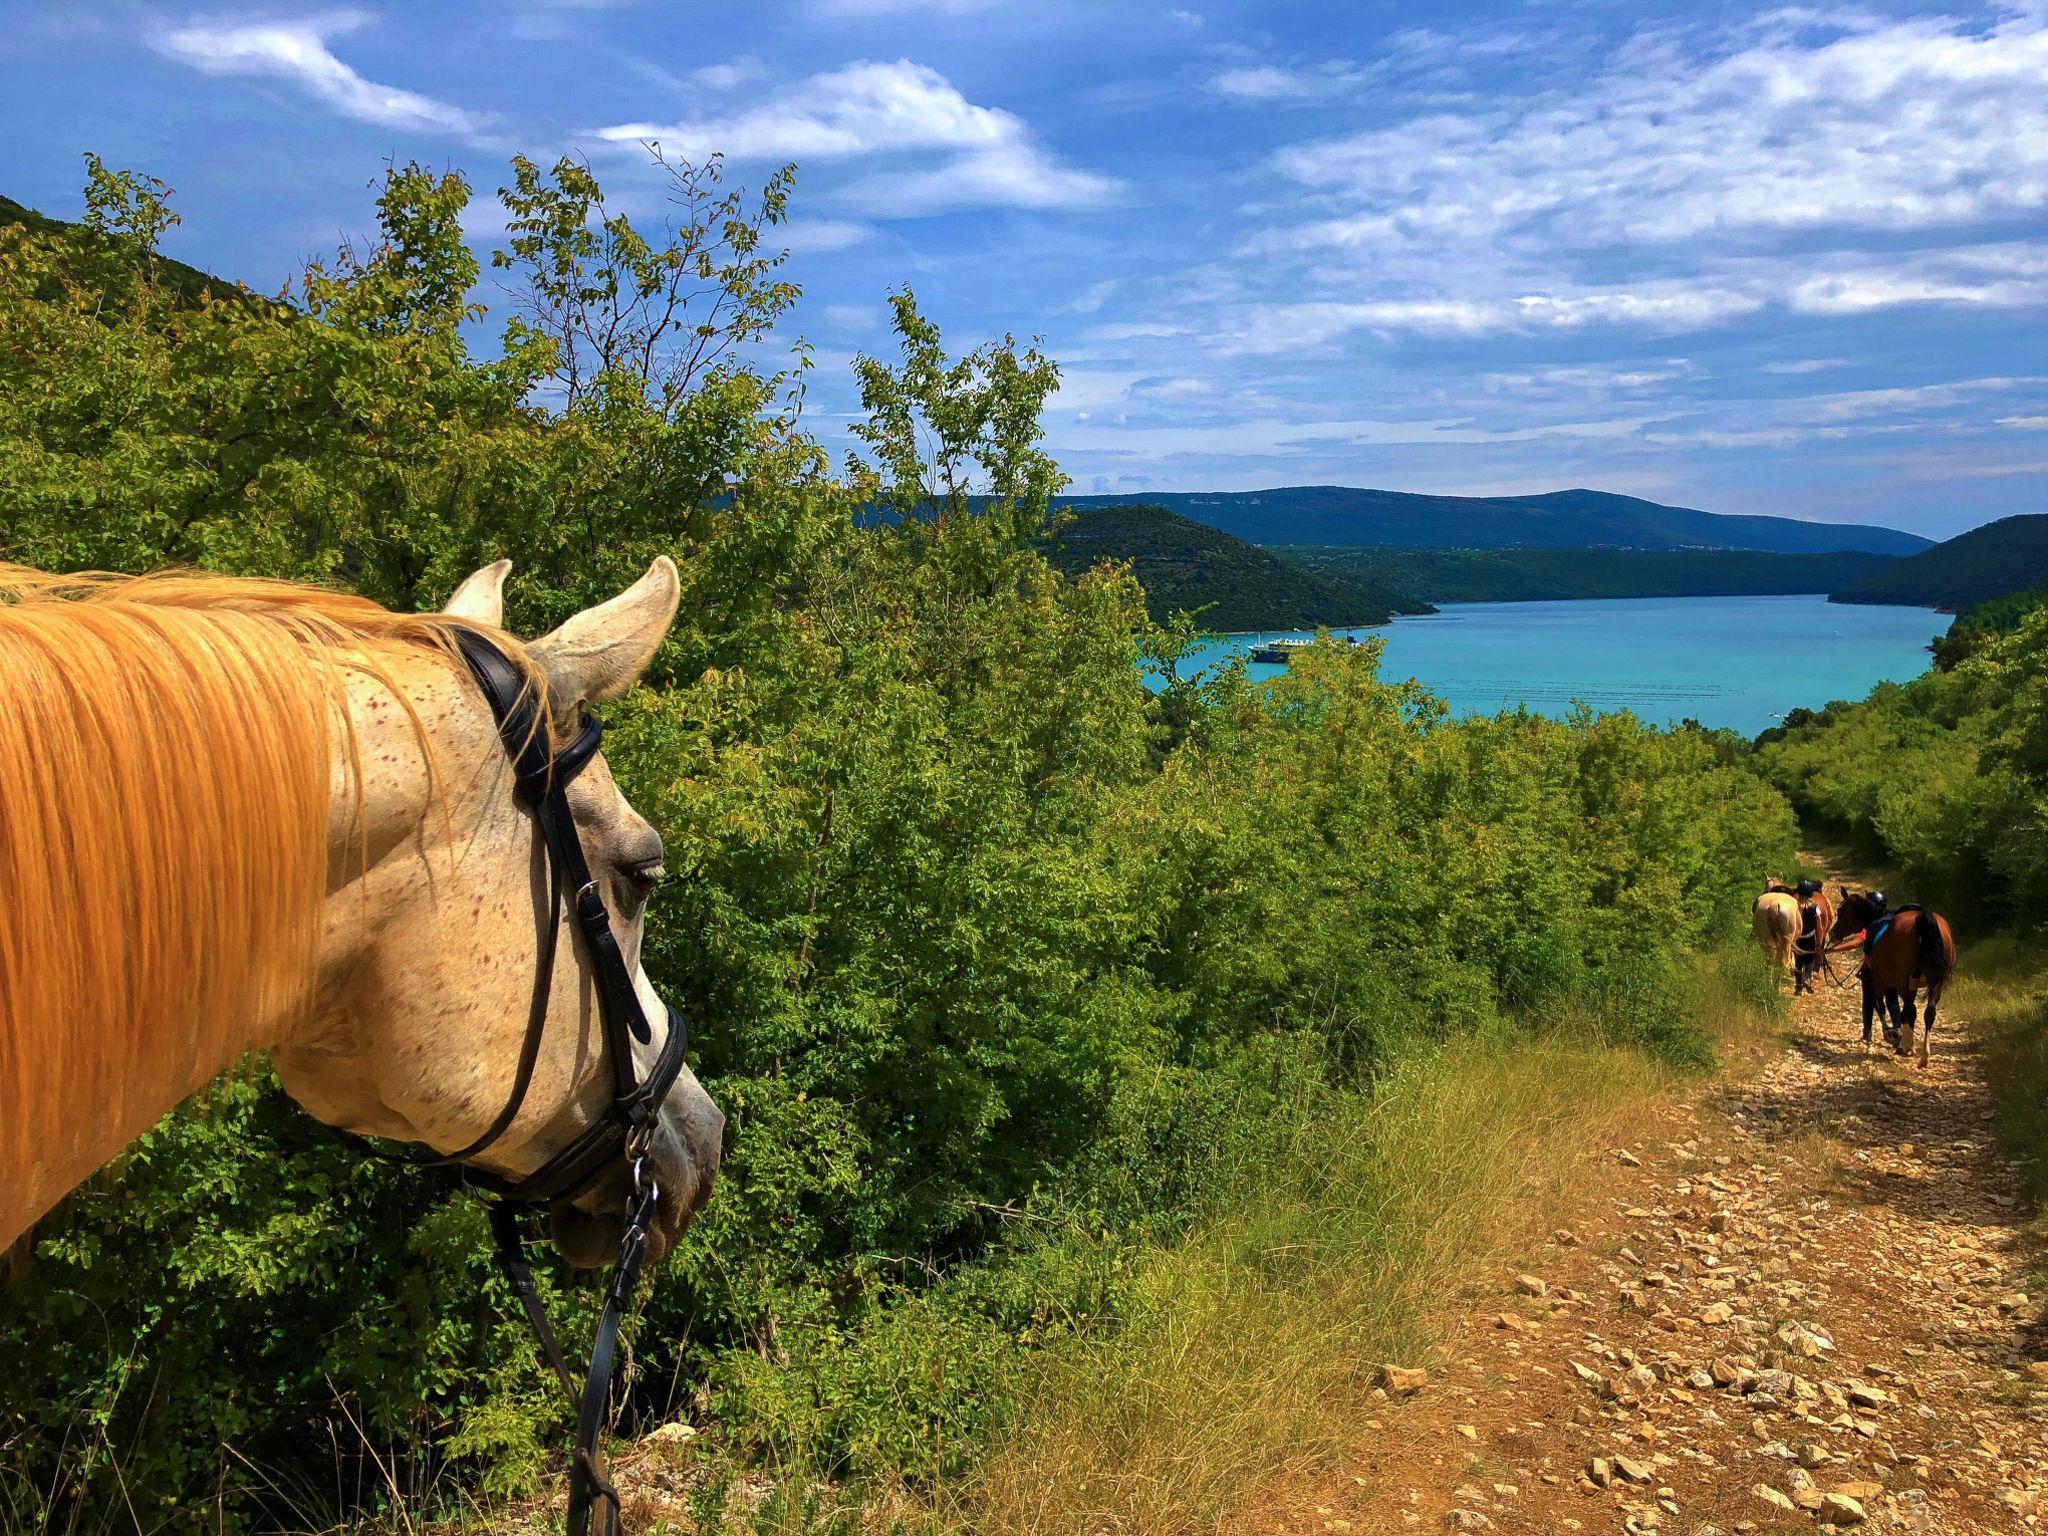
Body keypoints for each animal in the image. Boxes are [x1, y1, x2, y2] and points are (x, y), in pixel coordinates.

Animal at [1835, 888, 1957, 1073]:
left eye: (1841, 911)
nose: (1833, 932)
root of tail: (1923, 919)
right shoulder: (1911, 985)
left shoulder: (1878, 982)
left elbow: (1881, 1007)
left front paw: (1892, 1036)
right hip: (1935, 983)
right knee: (1928, 1012)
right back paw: (1923, 1056)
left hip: (1901, 983)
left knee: (1909, 1010)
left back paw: (1904, 1047)